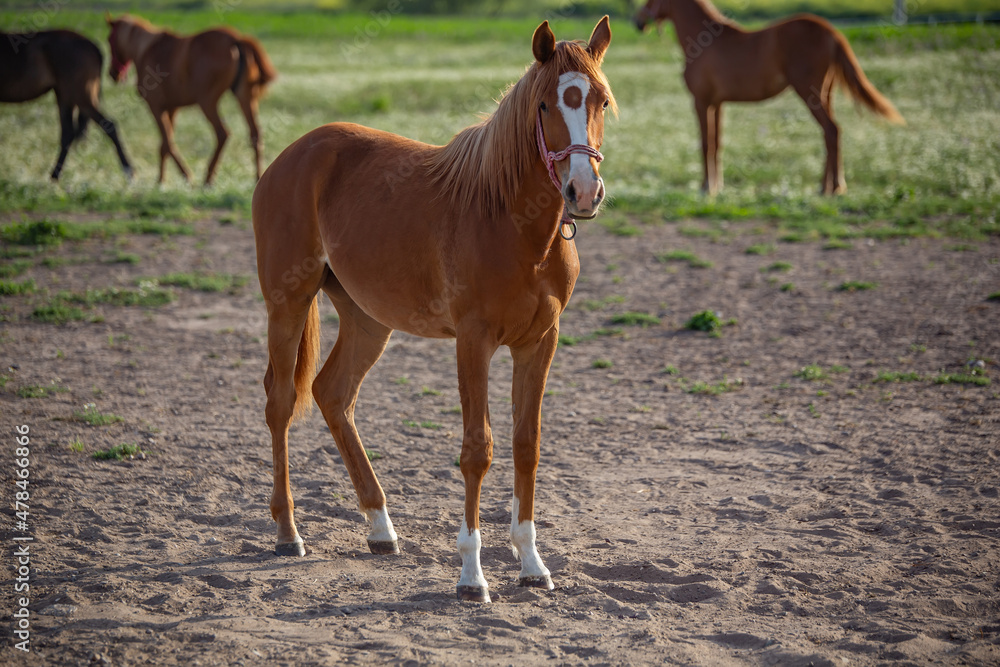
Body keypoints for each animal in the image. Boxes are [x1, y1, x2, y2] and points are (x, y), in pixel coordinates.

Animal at [0, 30, 132, 181]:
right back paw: (55, 177)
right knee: (68, 134)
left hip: (79, 95)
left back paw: (128, 171)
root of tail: (94, 47)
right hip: (65, 95)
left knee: (108, 125)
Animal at [105, 14, 276, 185]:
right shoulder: (172, 108)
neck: (145, 49)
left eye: (109, 40)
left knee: (222, 133)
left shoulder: (156, 107)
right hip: (245, 97)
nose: (113, 73)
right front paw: (164, 179)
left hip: (207, 102)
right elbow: (166, 144)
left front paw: (173, 178)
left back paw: (208, 178)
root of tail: (236, 39)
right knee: (255, 133)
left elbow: (167, 142)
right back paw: (258, 177)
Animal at [252, 17, 615, 603]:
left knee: (333, 393)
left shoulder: (540, 340)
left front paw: (532, 564)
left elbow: (527, 444)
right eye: (544, 105)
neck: (510, 222)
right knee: (282, 403)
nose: (584, 191)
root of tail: (290, 156)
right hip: (288, 301)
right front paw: (472, 576)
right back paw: (289, 533)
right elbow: (477, 449)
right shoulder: (474, 339)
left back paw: (380, 527)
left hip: (367, 318)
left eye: (601, 100)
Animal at [634, 0, 904, 195]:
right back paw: (825, 186)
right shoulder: (717, 104)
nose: (637, 21)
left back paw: (834, 188)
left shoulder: (701, 102)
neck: (705, 42)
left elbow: (705, 144)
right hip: (826, 94)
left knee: (832, 130)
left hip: (809, 93)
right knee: (831, 134)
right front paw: (717, 186)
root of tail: (830, 31)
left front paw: (706, 188)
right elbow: (717, 143)